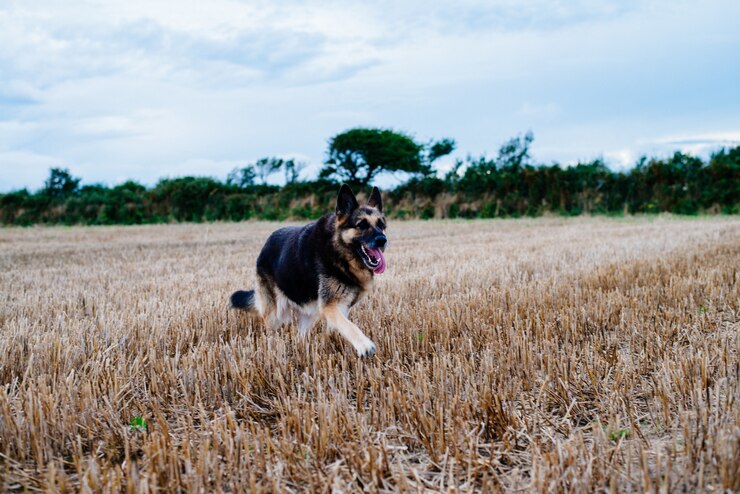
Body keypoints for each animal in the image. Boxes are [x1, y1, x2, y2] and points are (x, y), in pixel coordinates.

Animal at [231, 183, 388, 356]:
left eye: (381, 225)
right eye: (361, 225)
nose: (382, 240)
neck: (338, 252)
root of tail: (265, 245)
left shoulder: (341, 307)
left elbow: (339, 327)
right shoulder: (330, 306)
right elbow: (349, 326)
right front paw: (364, 345)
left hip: (309, 312)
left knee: (301, 335)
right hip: (275, 314)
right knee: (271, 331)